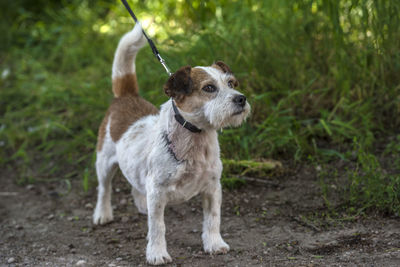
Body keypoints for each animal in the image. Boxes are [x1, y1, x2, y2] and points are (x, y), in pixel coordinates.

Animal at [92, 24, 252, 266]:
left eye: (231, 83)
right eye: (209, 88)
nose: (241, 99)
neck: (196, 140)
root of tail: (126, 96)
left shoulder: (213, 188)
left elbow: (213, 219)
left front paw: (214, 244)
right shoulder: (157, 192)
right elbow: (158, 227)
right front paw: (157, 253)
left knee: (135, 185)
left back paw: (141, 205)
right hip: (103, 162)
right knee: (104, 188)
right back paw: (102, 214)